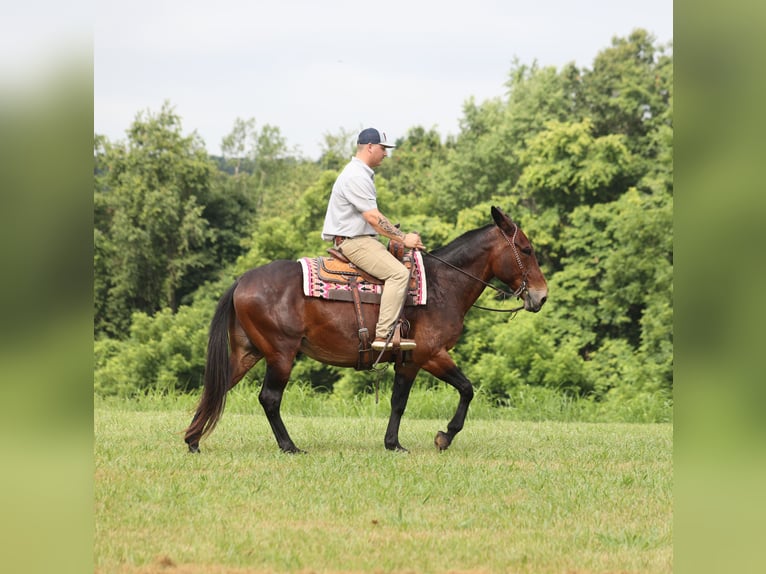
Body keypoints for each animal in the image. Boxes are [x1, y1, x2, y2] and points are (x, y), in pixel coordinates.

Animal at [184, 206, 548, 453]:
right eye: (526, 249)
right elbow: (461, 390)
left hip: (249, 352)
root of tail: (241, 281)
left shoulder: (409, 360)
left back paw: (193, 439)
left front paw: (394, 442)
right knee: (269, 398)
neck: (443, 285)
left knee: (217, 387)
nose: (541, 296)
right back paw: (289, 446)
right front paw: (441, 437)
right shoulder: (428, 354)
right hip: (281, 354)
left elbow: (401, 401)